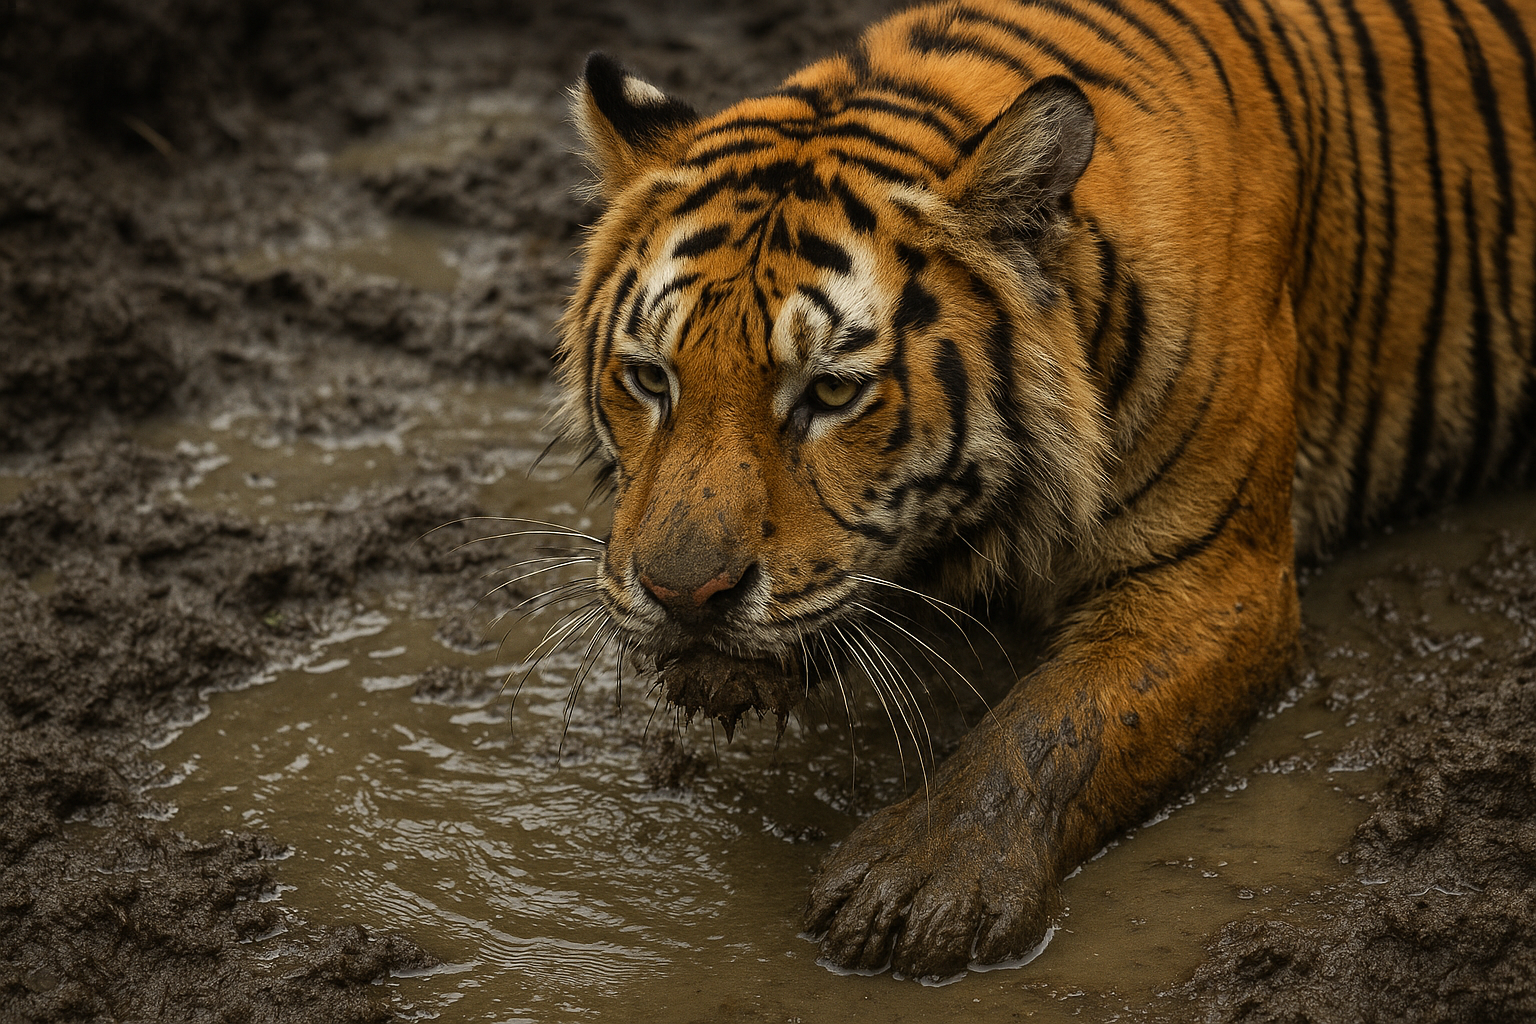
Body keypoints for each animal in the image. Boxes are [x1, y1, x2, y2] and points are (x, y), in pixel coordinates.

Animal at [551, 0, 1536, 981]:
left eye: (831, 392)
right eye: (650, 379)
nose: (686, 596)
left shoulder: (1220, 583)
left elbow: (1057, 720)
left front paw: (922, 883)